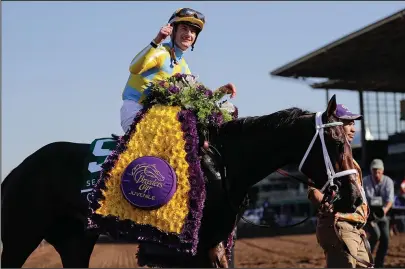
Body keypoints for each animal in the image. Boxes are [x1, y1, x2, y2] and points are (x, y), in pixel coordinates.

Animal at [0, 94, 360, 266]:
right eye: (337, 142)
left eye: (349, 140)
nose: (355, 197)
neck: (220, 165)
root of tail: (15, 172)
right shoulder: (194, 251)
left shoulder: (214, 247)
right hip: (20, 238)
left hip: (74, 241)